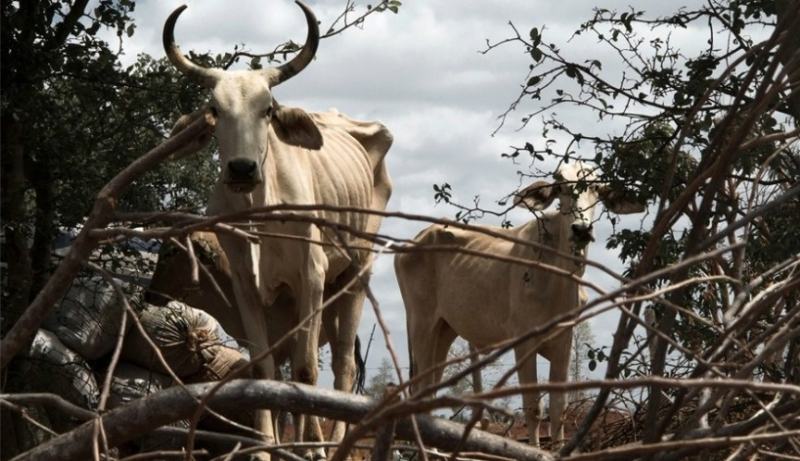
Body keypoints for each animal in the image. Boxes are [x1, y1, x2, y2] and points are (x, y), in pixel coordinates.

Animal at [161, 2, 392, 456]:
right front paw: (266, 447)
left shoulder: (310, 274)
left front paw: (308, 447)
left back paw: (332, 442)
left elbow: (305, 372)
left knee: (341, 366)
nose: (242, 169)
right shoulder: (248, 287)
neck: (260, 212)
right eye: (215, 111)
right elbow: (265, 370)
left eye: (267, 109)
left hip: (355, 274)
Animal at [396, 162, 640, 446]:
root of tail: (415, 239)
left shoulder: (564, 341)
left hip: (444, 330)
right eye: (561, 187)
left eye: (596, 188)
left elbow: (558, 407)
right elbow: (533, 406)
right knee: (419, 392)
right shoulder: (524, 341)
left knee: (428, 394)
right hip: (421, 324)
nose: (581, 229)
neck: (558, 278)